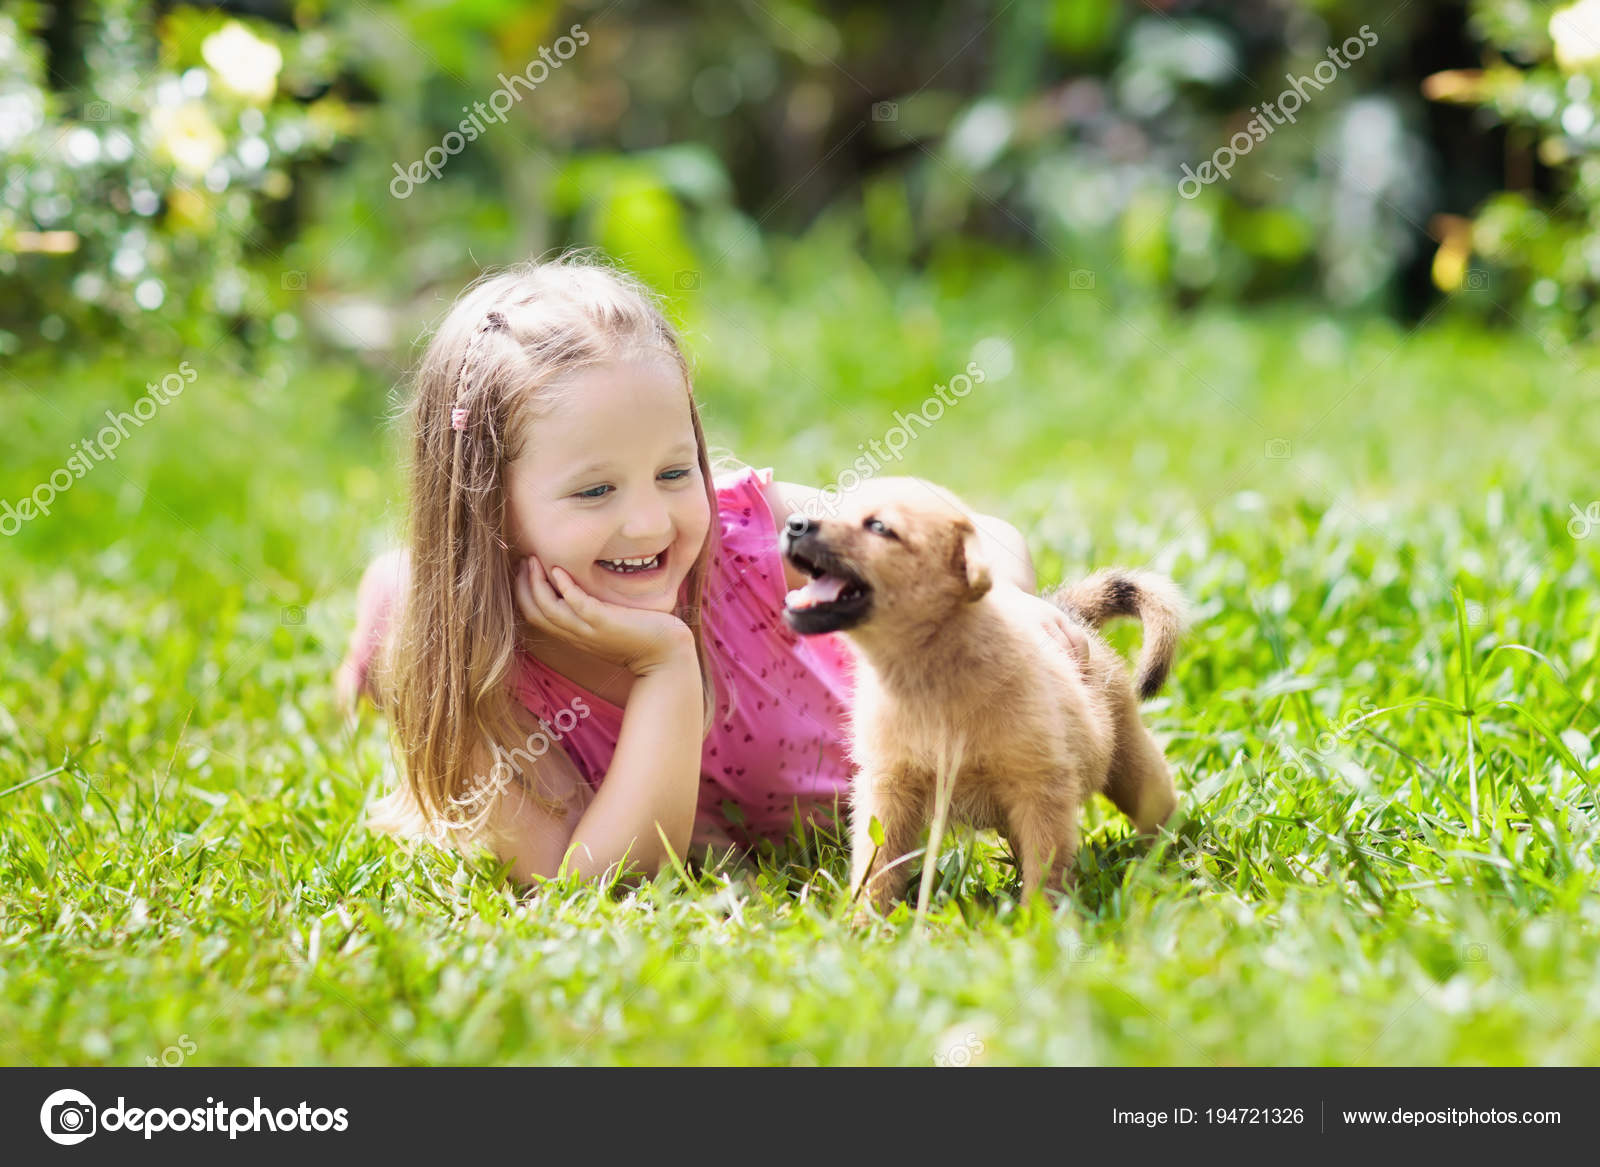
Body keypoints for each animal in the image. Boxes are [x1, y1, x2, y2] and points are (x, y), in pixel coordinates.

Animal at [780, 477, 1184, 915]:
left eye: (880, 527)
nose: (794, 524)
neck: (930, 682)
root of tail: (1065, 610)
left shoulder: (1042, 791)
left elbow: (1046, 870)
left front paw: (1039, 920)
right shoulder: (889, 790)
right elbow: (878, 869)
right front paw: (867, 921)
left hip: (1133, 769)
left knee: (1160, 808)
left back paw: (1165, 858)